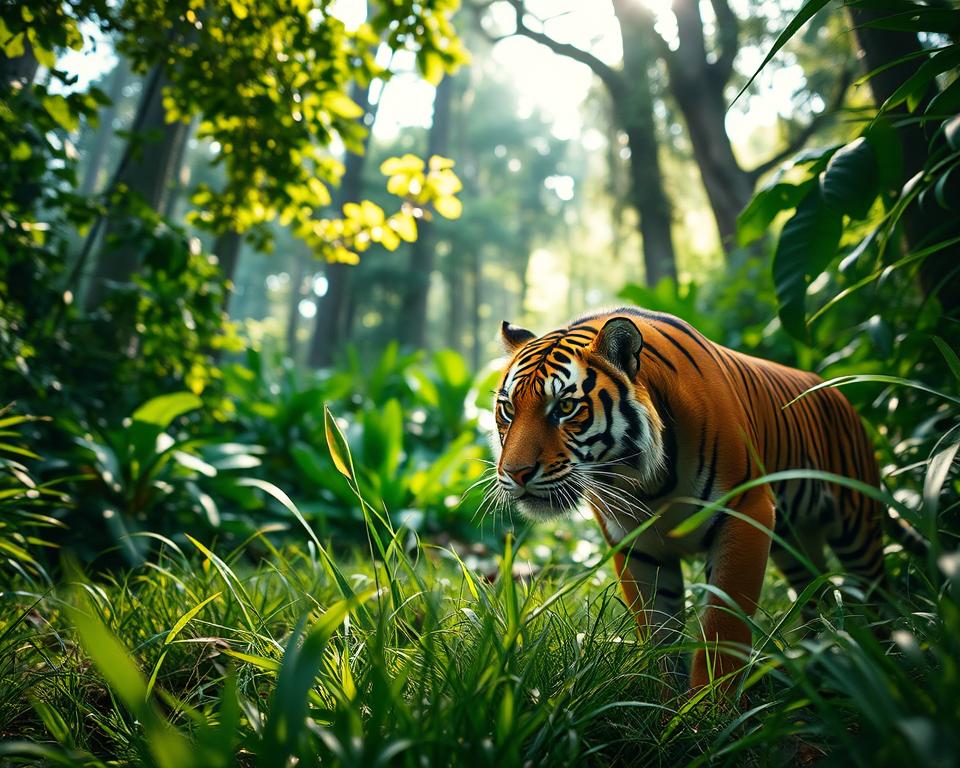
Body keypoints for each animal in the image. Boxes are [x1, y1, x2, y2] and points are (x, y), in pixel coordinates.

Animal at [491, 307, 898, 692]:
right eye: (509, 410)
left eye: (564, 408)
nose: (516, 472)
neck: (644, 482)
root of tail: (834, 390)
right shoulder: (635, 543)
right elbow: (658, 629)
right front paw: (666, 703)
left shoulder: (744, 512)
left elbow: (722, 624)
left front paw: (711, 706)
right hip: (794, 543)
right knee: (817, 594)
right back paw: (823, 659)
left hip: (857, 526)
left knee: (876, 591)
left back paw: (884, 658)